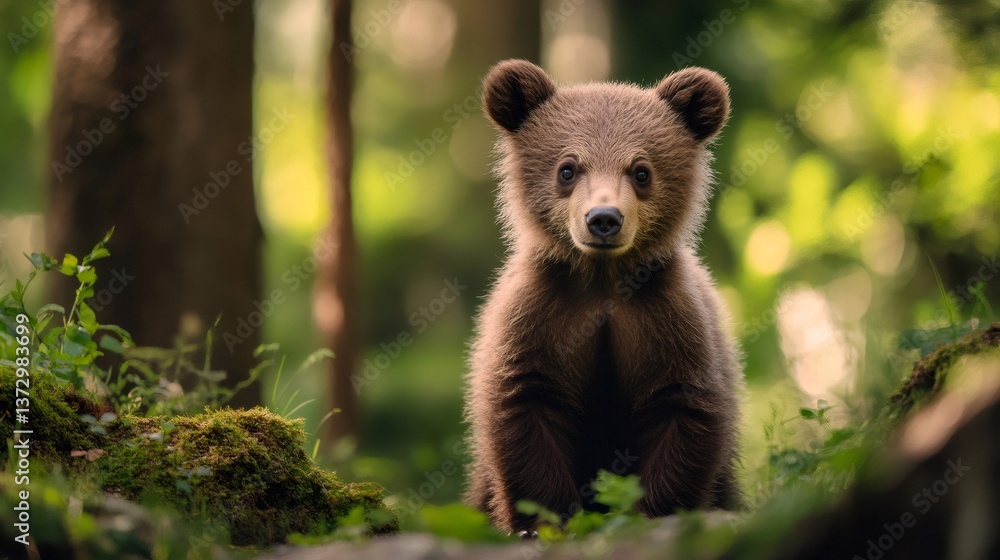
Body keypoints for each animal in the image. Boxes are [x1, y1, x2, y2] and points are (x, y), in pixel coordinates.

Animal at [463, 59, 744, 534]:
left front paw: (651, 510)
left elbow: (683, 407)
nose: (604, 219)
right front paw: (544, 519)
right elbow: (524, 401)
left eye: (641, 170)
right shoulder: (541, 314)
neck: (603, 280)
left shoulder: (666, 317)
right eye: (568, 168)